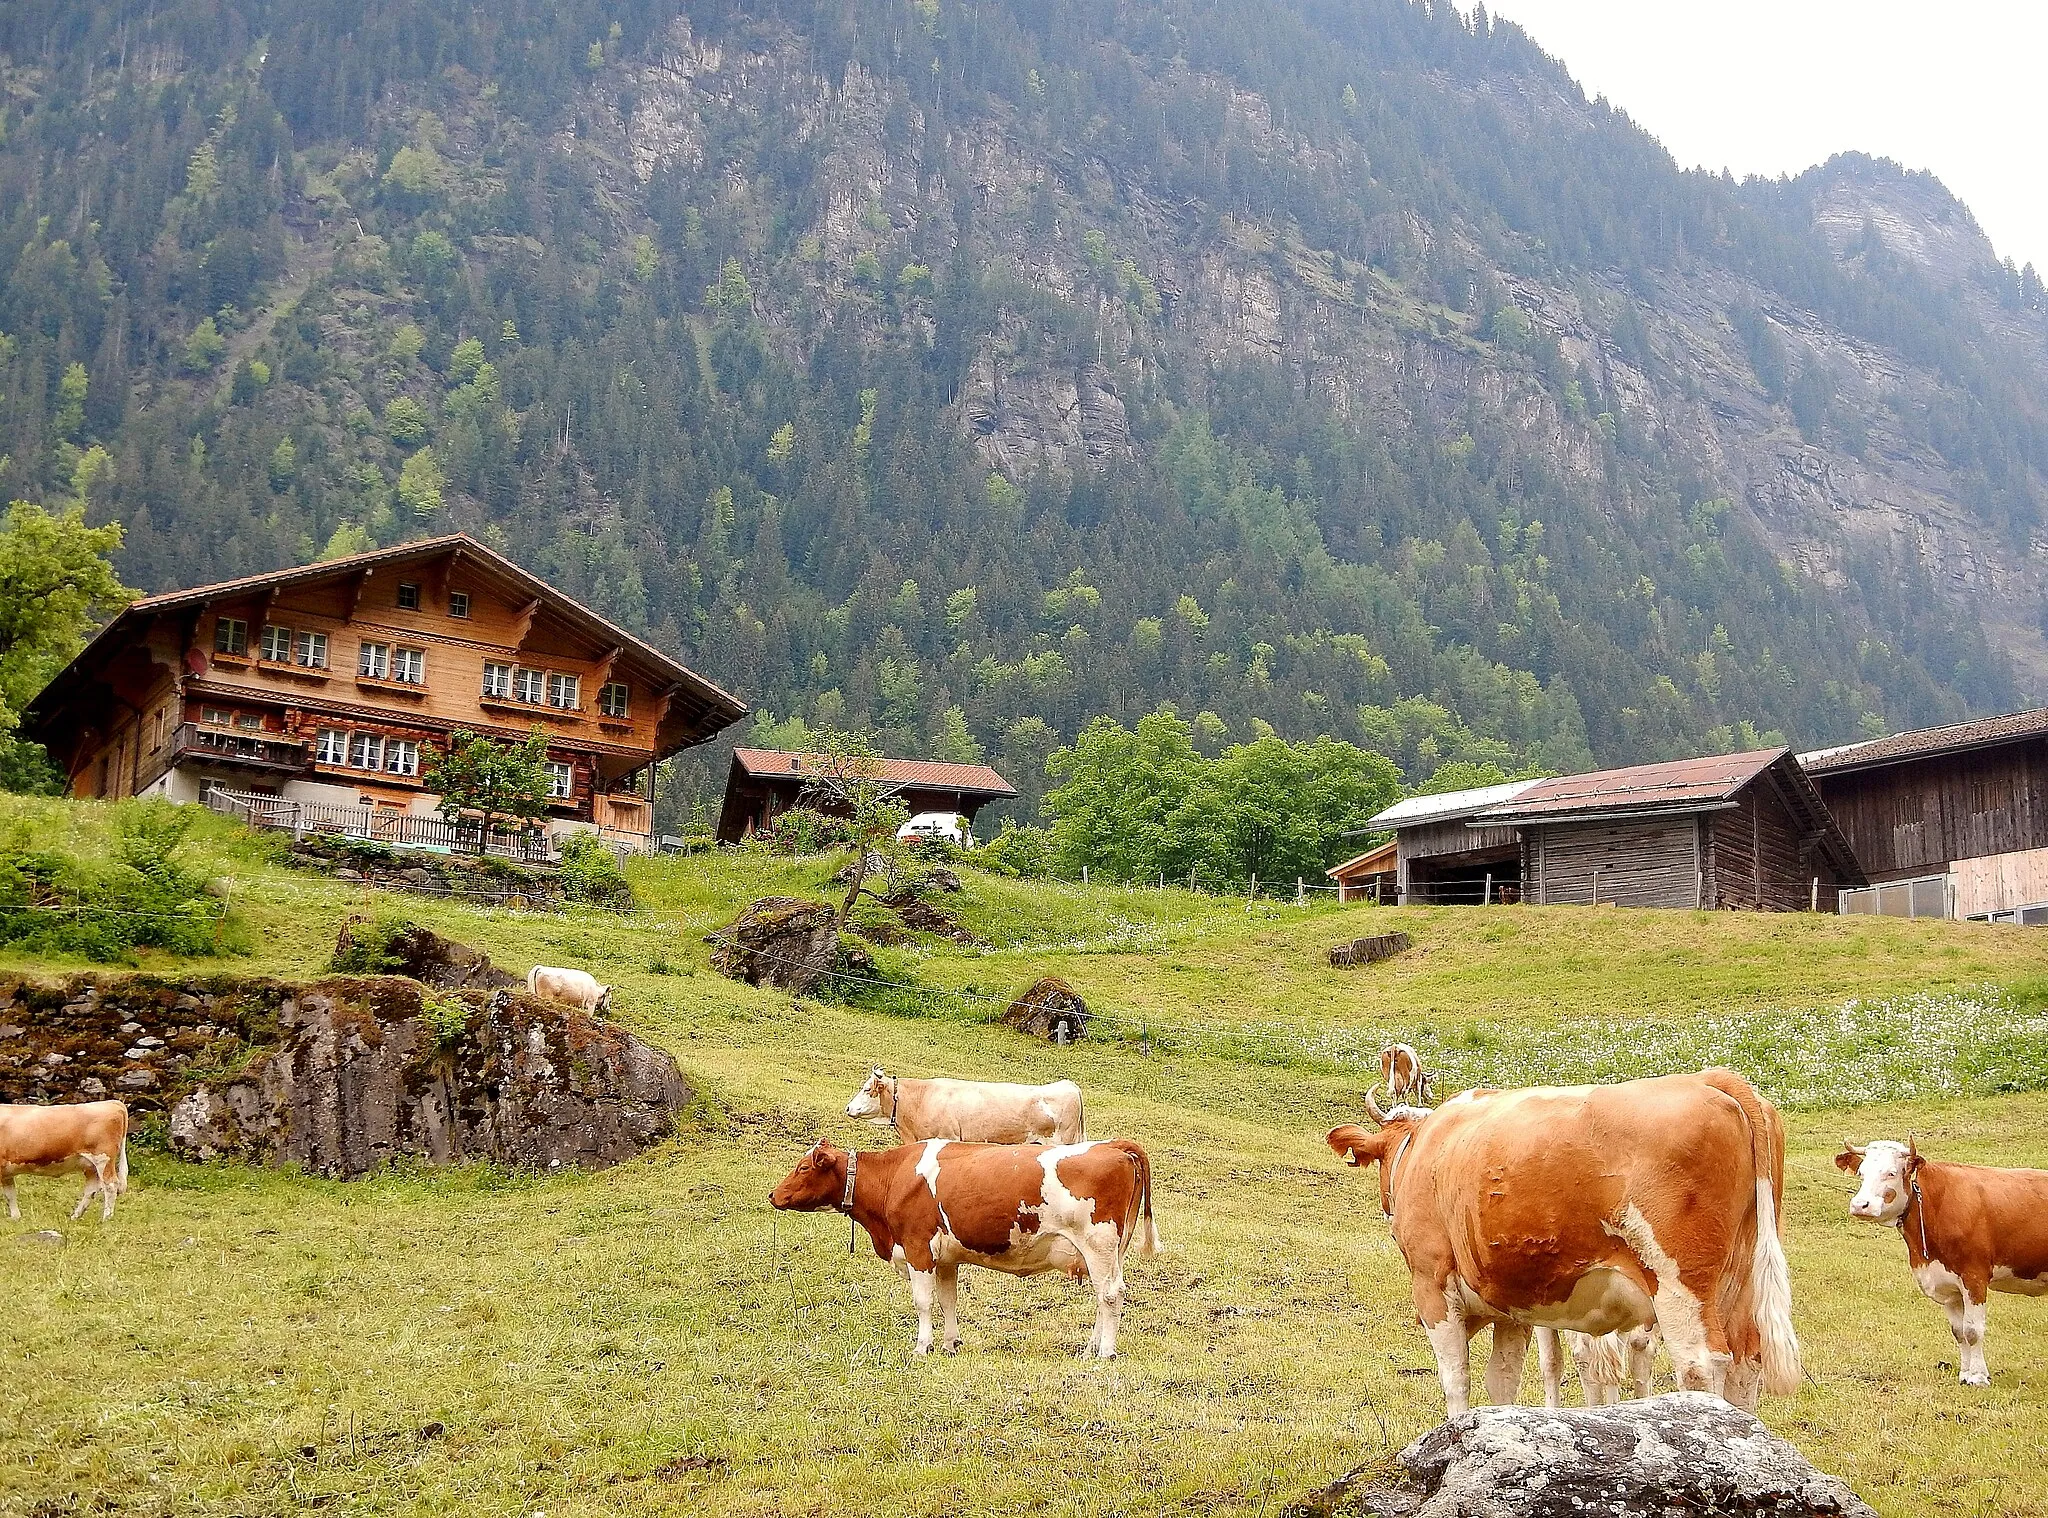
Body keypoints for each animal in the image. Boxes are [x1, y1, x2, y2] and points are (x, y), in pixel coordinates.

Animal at [770, 1130, 1163, 1352]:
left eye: (803, 1168)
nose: (773, 1194)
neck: (894, 1177)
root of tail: (1112, 1146)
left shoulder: (918, 1249)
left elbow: (924, 1302)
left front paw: (923, 1346)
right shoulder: (945, 1257)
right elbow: (948, 1301)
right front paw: (950, 1343)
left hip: (1098, 1243)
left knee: (1111, 1294)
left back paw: (1105, 1352)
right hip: (1108, 1250)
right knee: (1103, 1295)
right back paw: (1091, 1346)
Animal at [1327, 1057, 1794, 1417]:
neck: (1427, 1147)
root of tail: (1708, 1078)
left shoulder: (1432, 1285)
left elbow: (1457, 1379)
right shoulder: (1511, 1307)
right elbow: (1503, 1381)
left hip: (1679, 1283)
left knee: (1702, 1365)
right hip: (1741, 1283)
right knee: (1746, 1361)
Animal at [1843, 1139, 2048, 1384]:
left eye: (1891, 1173)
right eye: (1861, 1173)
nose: (1860, 1205)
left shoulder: (1974, 1277)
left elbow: (1973, 1331)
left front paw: (1978, 1377)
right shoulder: (1948, 1285)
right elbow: (1959, 1332)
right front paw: (1965, 1374)